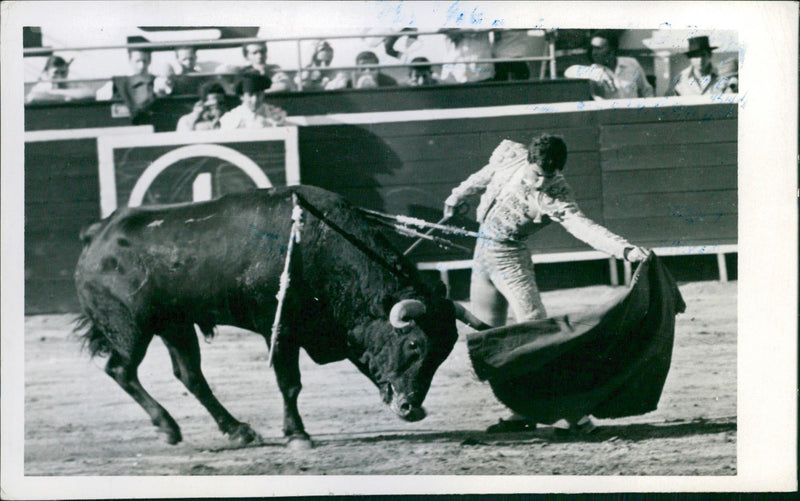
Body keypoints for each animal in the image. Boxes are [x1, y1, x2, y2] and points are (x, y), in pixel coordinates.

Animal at [75, 184, 484, 446]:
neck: (320, 243)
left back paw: (238, 430)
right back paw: (168, 427)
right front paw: (297, 434)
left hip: (176, 326)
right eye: (414, 345)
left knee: (190, 375)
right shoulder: (281, 329)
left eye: (443, 354)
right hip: (130, 328)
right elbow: (290, 384)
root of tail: (97, 234)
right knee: (122, 370)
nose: (412, 409)